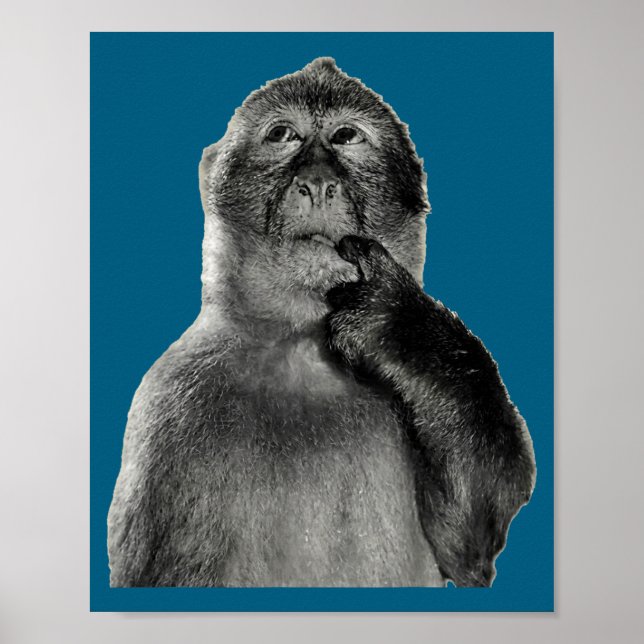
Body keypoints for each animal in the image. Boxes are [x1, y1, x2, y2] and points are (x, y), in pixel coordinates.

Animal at [107, 57, 536, 588]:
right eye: (282, 135)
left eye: (347, 136)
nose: (316, 183)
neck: (302, 346)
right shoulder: (170, 406)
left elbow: (471, 544)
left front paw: (397, 322)